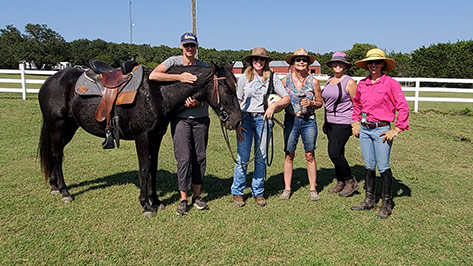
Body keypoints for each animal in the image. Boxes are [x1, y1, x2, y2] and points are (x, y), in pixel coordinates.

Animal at [38, 62, 242, 216]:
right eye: (226, 88)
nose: (237, 120)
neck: (158, 93)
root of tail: (50, 81)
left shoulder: (156, 136)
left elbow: (152, 168)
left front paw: (156, 200)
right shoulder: (142, 137)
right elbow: (144, 169)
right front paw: (146, 205)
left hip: (68, 129)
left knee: (55, 154)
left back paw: (55, 186)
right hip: (57, 126)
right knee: (57, 156)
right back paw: (65, 192)